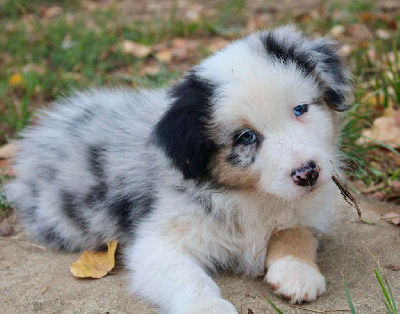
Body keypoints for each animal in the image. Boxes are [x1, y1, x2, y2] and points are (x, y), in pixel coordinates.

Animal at [5, 25, 350, 312]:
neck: (249, 195)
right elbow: (187, 276)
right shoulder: (158, 241)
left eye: (300, 109)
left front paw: (298, 272)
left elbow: (297, 232)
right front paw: (209, 308)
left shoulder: (303, 212)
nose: (308, 173)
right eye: (246, 137)